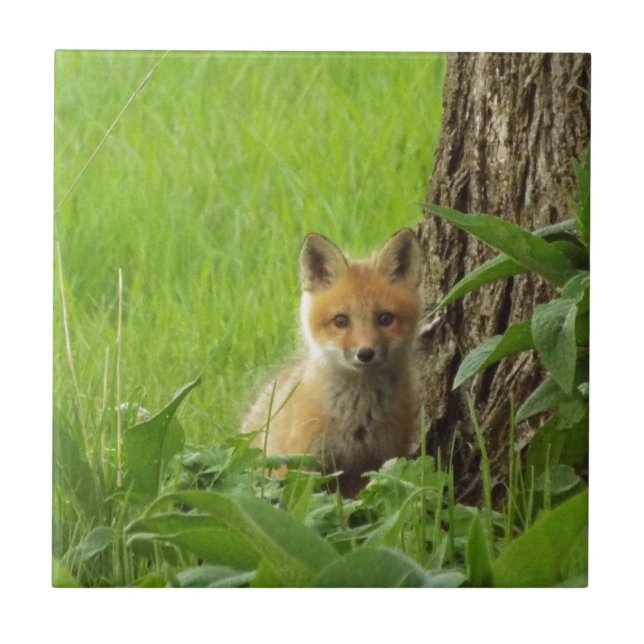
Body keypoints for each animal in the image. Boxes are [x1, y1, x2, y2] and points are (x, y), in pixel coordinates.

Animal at [242, 228, 423, 496]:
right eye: (341, 321)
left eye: (385, 319)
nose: (365, 353)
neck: (357, 419)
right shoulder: (301, 463)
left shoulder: (377, 464)